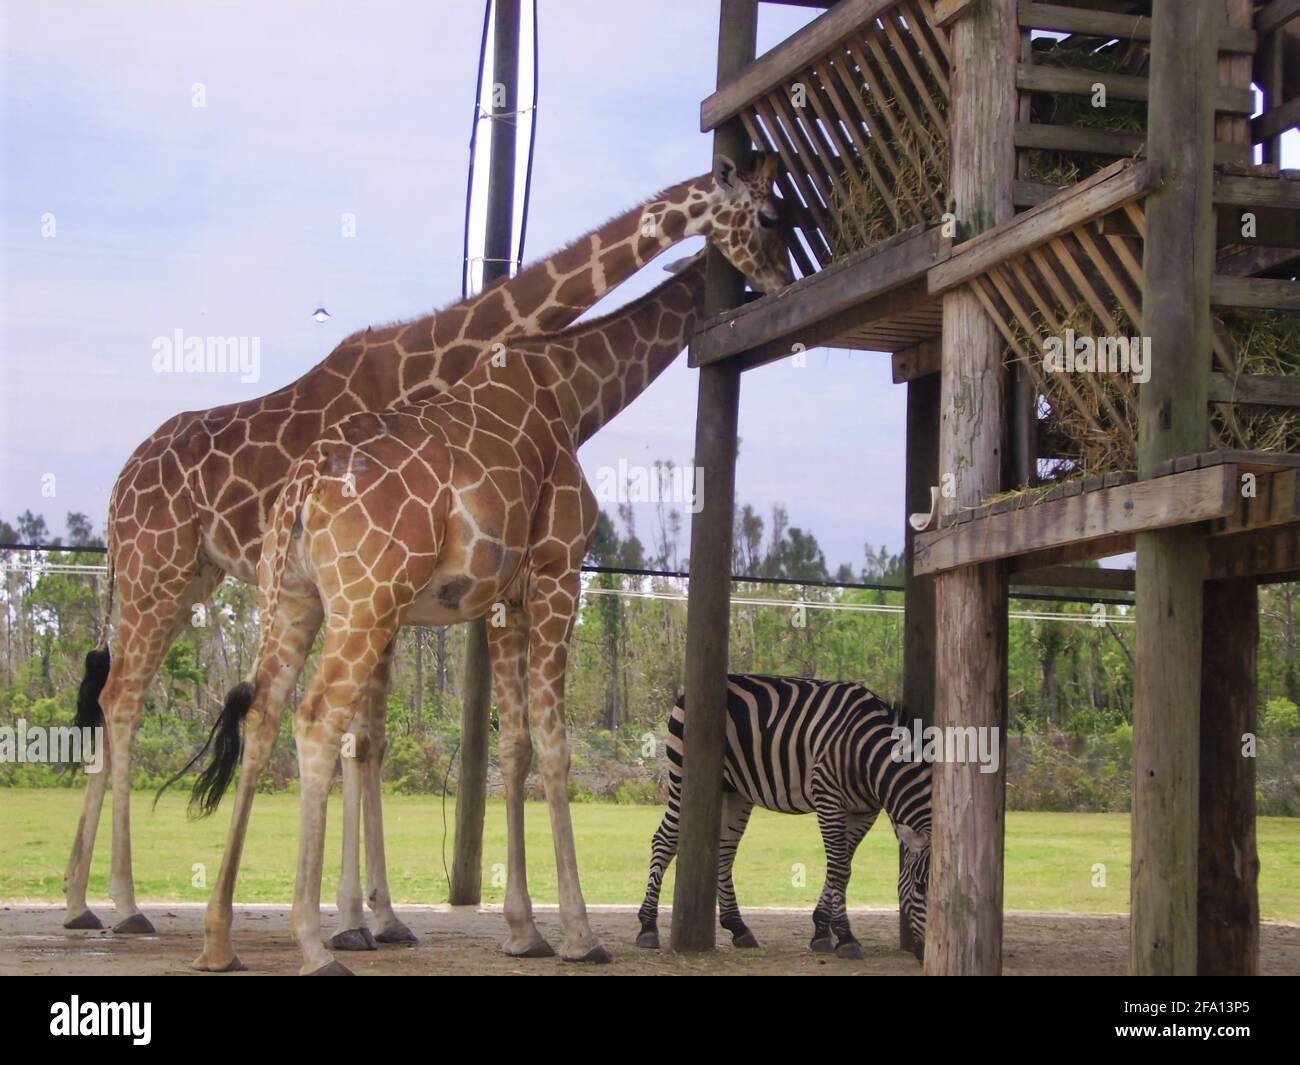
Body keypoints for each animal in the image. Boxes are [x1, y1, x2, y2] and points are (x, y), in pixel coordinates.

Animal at [66, 152, 790, 937]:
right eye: (771, 215)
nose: (782, 280)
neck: (438, 359)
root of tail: (118, 485)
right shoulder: (390, 586)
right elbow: (360, 739)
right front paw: (357, 918)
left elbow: (369, 741)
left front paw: (373, 915)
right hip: (157, 570)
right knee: (124, 700)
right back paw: (125, 902)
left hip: (186, 579)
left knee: (117, 694)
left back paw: (82, 902)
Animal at [636, 674, 932, 960]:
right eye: (919, 886)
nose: (926, 955)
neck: (868, 752)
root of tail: (685, 695)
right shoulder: (828, 797)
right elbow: (839, 868)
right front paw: (845, 937)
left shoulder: (865, 811)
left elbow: (841, 864)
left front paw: (821, 931)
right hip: (682, 779)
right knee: (663, 841)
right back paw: (648, 927)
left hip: (735, 792)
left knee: (724, 851)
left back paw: (738, 927)